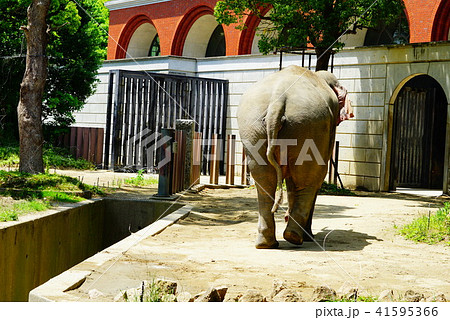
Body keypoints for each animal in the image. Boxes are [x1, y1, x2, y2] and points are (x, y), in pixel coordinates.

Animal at [237, 65, 354, 249]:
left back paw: (267, 243)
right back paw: (295, 237)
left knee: (264, 181)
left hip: (252, 126)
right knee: (308, 181)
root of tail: (278, 100)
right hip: (309, 125)